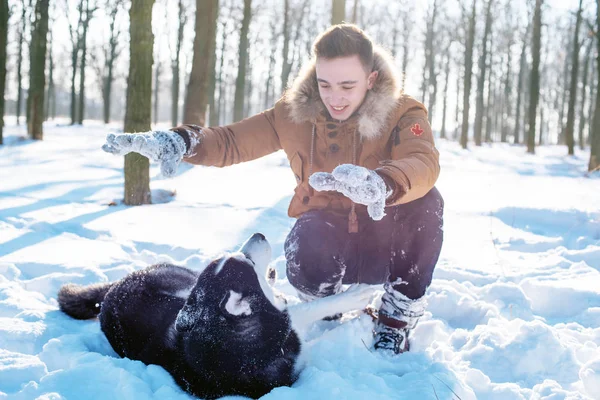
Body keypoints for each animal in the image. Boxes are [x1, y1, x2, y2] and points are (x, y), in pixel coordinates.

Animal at [57, 233, 376, 398]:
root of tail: (116, 288)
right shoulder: (286, 327)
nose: (258, 234)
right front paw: (355, 296)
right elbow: (307, 310)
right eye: (247, 261)